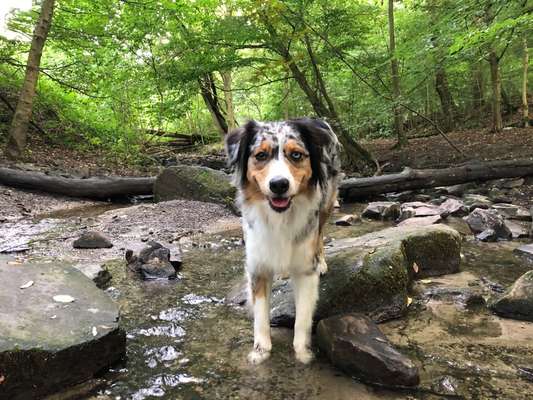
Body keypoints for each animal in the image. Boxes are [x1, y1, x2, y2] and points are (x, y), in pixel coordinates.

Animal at [224, 117, 340, 364]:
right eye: (260, 155)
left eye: (296, 155)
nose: (279, 184)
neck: (280, 218)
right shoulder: (257, 266)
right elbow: (260, 315)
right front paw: (260, 351)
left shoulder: (305, 269)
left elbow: (303, 317)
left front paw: (303, 353)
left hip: (326, 205)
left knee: (321, 233)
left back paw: (322, 261)